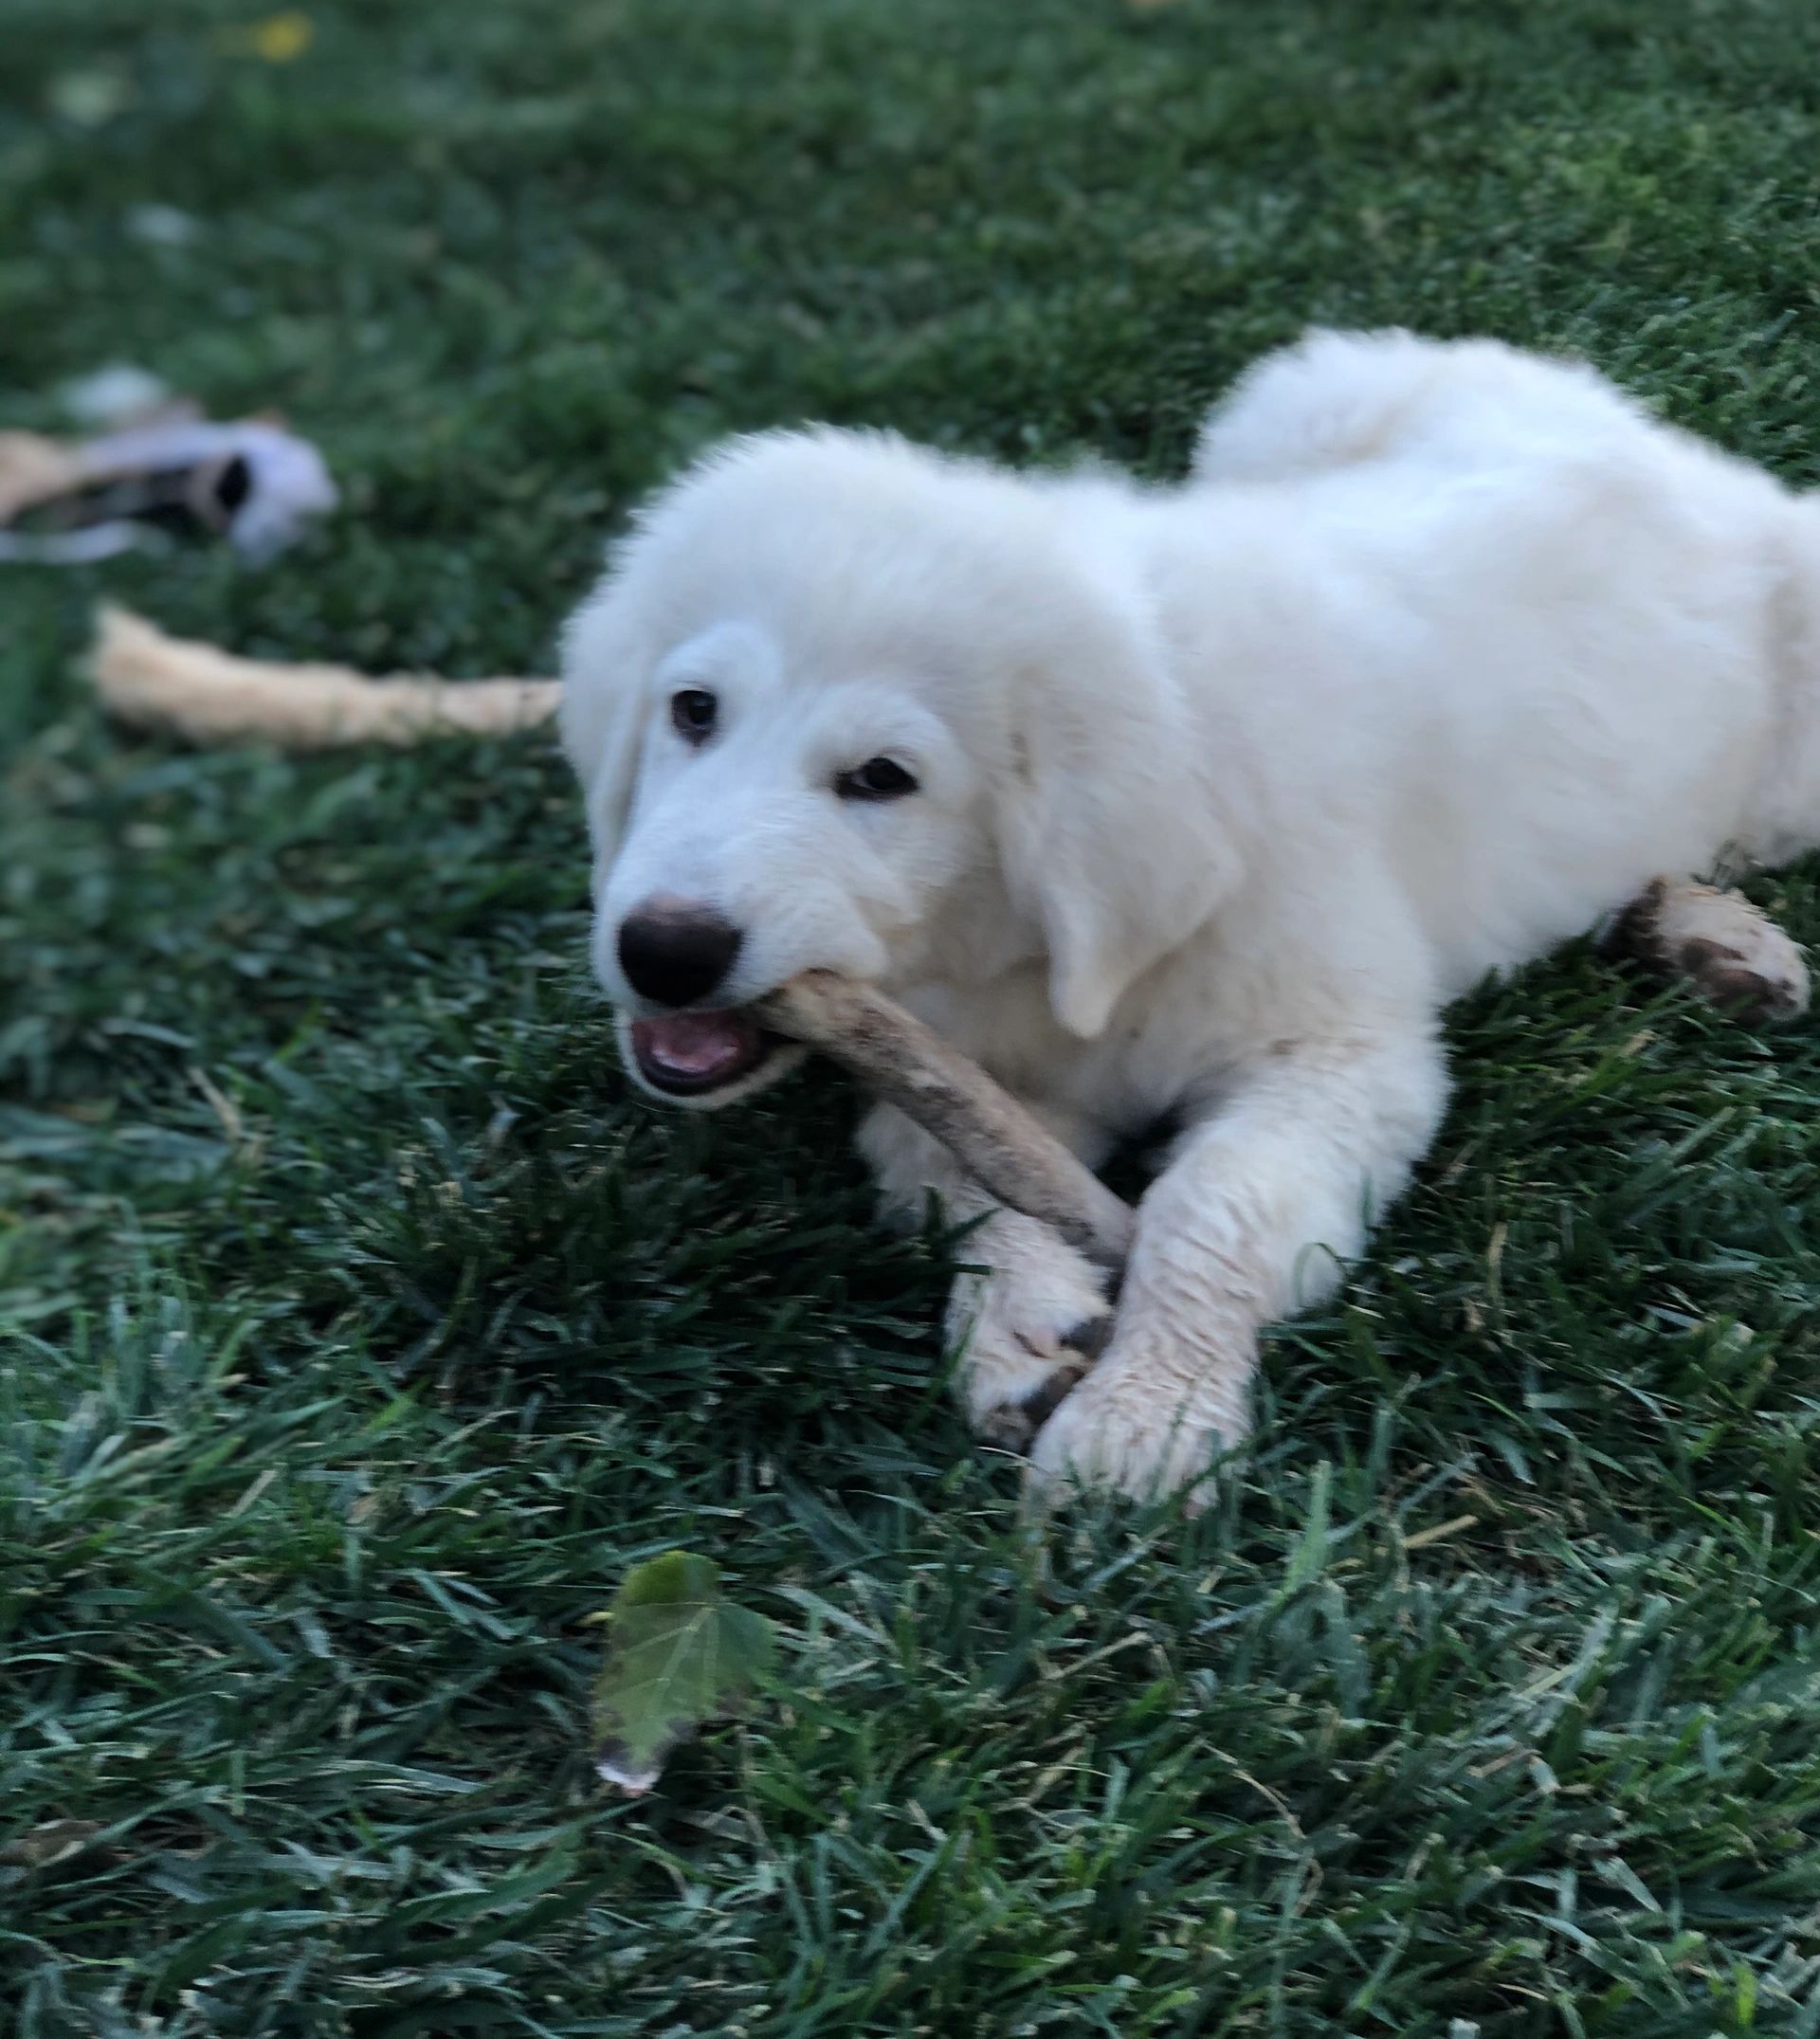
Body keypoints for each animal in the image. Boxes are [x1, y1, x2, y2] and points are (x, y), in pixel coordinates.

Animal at [558, 334, 1817, 1508]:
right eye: (693, 711)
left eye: (882, 778)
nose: (662, 952)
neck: (1031, 946)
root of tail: (1649, 441)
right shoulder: (965, 1062)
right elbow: (968, 1177)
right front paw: (1021, 1322)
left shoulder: (1339, 1056)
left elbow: (1213, 1205)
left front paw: (1145, 1419)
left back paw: (1718, 930)